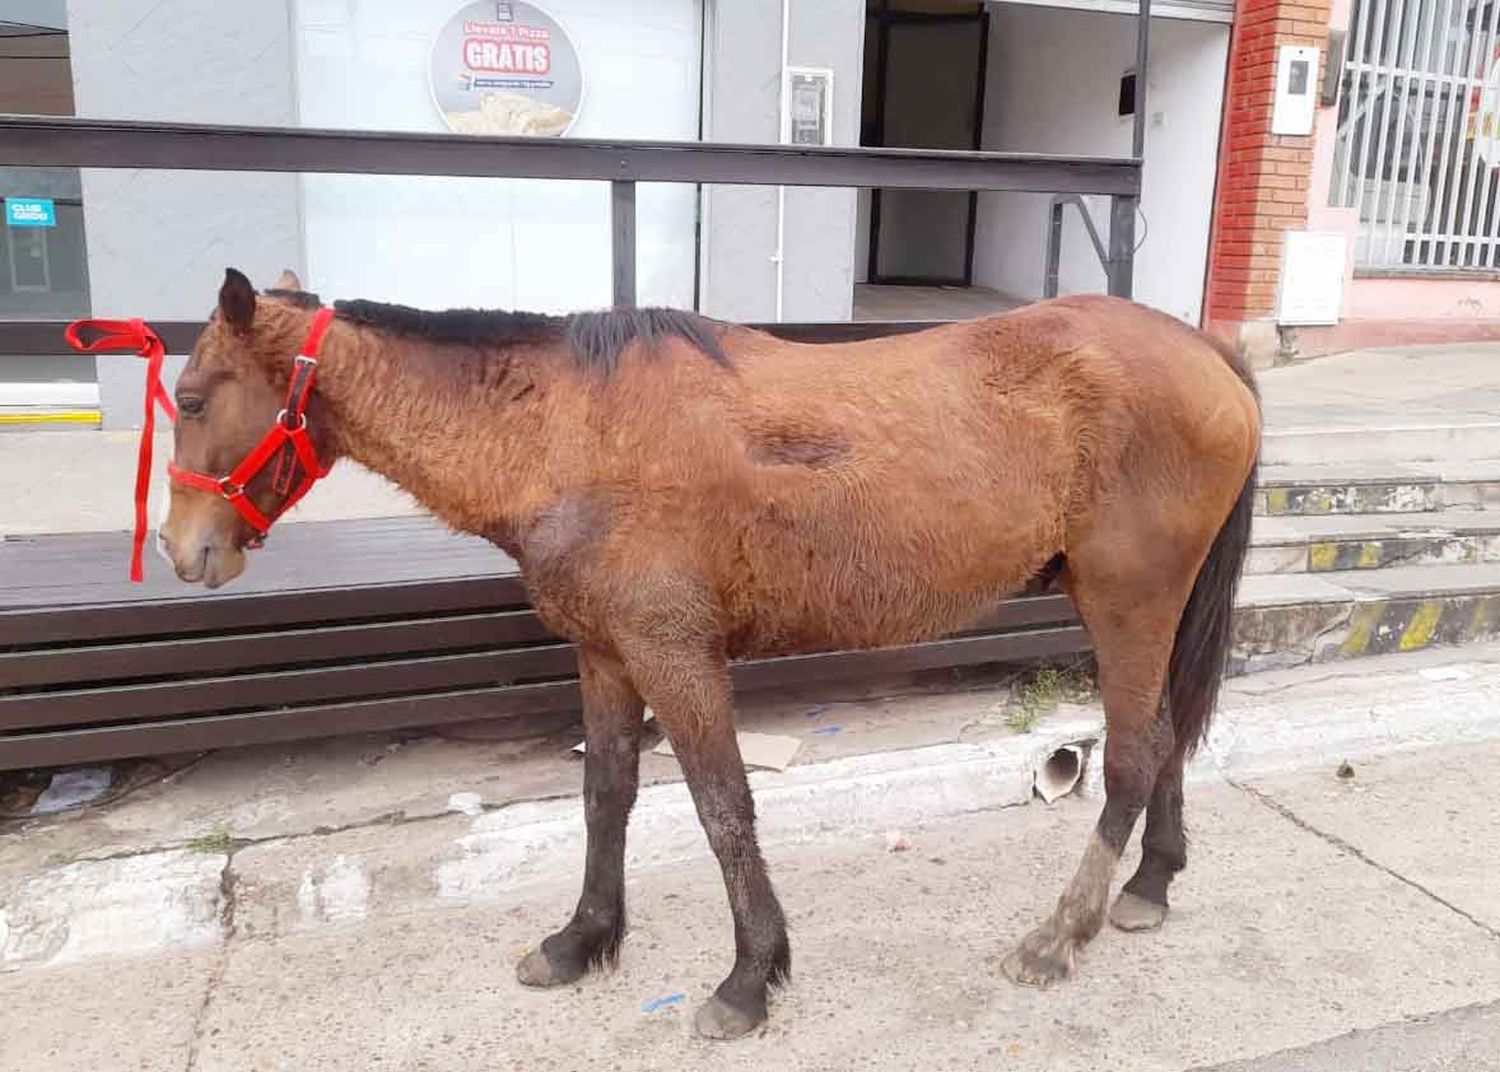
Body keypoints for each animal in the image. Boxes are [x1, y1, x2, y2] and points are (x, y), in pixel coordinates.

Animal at [161, 268, 1266, 1037]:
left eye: (196, 395)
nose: (183, 550)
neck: (567, 427)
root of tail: (1205, 352)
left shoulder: (675, 655)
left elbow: (722, 808)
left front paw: (749, 976)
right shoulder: (606, 655)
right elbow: (607, 794)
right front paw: (583, 938)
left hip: (1127, 602)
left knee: (1132, 754)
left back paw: (1062, 932)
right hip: (1140, 609)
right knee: (1166, 735)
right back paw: (1148, 886)